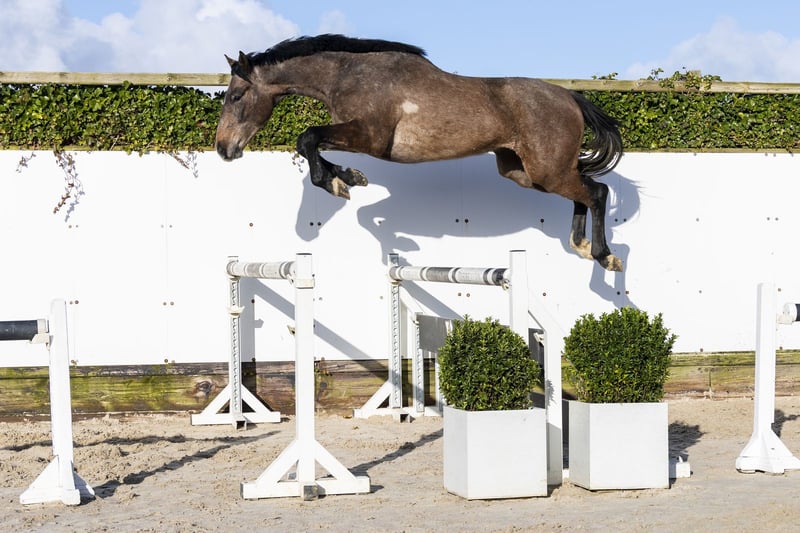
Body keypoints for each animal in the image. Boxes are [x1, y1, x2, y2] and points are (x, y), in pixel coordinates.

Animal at [215, 34, 624, 271]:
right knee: (584, 190)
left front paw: (338, 184)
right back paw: (581, 246)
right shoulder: (353, 135)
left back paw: (604, 255)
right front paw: (348, 178)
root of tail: (570, 97)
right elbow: (314, 144)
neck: (348, 75)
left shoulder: (369, 136)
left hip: (545, 170)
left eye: (236, 96)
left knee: (597, 191)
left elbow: (307, 138)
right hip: (522, 172)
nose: (223, 148)